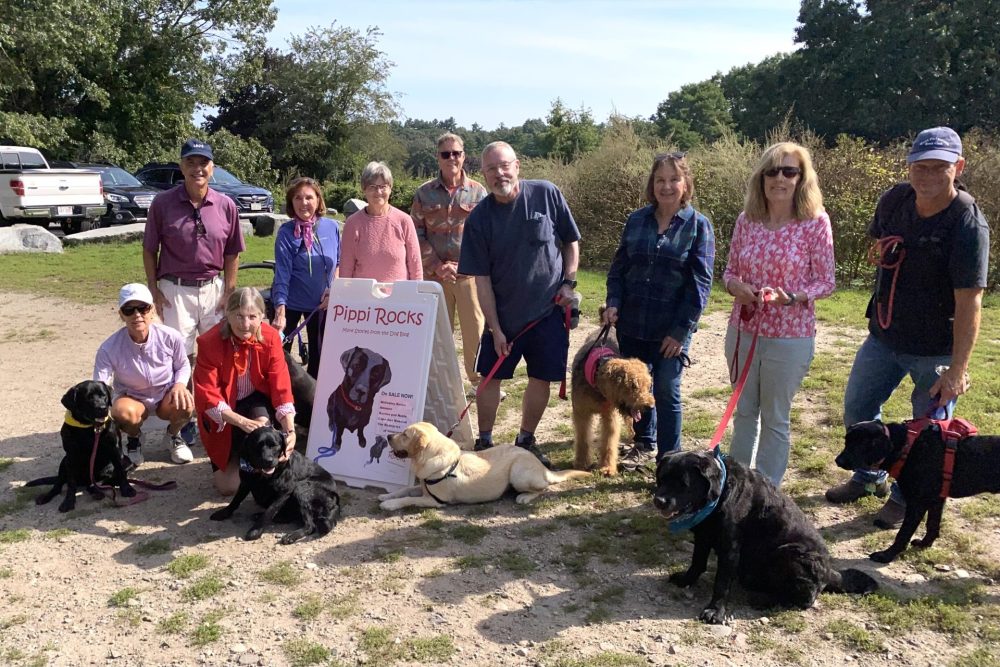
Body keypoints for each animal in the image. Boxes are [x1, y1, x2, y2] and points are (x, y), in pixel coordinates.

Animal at [28, 380, 135, 512]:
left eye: (104, 395)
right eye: (88, 398)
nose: (103, 408)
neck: (90, 427)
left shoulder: (115, 449)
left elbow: (120, 471)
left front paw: (127, 489)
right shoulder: (71, 455)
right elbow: (71, 484)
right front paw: (68, 502)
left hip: (125, 461)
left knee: (100, 483)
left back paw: (97, 491)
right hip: (64, 462)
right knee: (58, 485)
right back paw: (46, 496)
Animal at [209, 428, 342, 544]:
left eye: (274, 445)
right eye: (257, 446)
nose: (268, 460)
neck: (262, 475)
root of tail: (335, 498)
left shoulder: (285, 492)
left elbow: (270, 510)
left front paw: (255, 531)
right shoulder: (245, 483)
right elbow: (235, 500)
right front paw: (224, 513)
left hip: (301, 488)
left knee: (310, 525)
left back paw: (290, 536)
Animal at [572, 328, 656, 474]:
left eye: (648, 385)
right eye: (633, 385)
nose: (650, 406)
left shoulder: (610, 416)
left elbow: (608, 442)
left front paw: (607, 468)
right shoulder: (581, 413)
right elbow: (582, 439)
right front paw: (581, 463)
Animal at [652, 452, 872, 624]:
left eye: (683, 484)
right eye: (661, 479)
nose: (659, 501)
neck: (721, 494)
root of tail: (830, 572)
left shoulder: (730, 546)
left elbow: (721, 582)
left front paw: (715, 611)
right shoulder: (703, 534)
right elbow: (697, 562)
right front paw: (685, 580)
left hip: (789, 553)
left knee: (805, 600)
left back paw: (764, 601)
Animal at [836, 422, 1000, 564]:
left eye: (860, 443)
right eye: (846, 441)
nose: (838, 460)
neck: (907, 448)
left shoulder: (917, 503)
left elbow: (903, 533)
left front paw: (886, 555)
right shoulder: (937, 500)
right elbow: (932, 525)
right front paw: (924, 544)